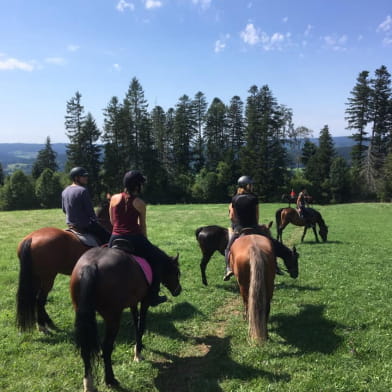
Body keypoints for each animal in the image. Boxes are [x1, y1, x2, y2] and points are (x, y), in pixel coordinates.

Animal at [15, 202, 110, 334]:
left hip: (35, 276)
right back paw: (43, 325)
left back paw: (47, 323)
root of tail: (31, 238)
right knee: (40, 300)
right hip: (47, 278)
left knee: (34, 299)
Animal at [70, 248, 181, 392]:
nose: (179, 290)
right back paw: (110, 379)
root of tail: (90, 266)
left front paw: (138, 348)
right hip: (113, 318)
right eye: (177, 272)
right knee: (106, 347)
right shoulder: (145, 302)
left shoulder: (133, 302)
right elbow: (141, 325)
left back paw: (89, 383)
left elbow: (136, 324)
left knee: (86, 349)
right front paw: (138, 354)